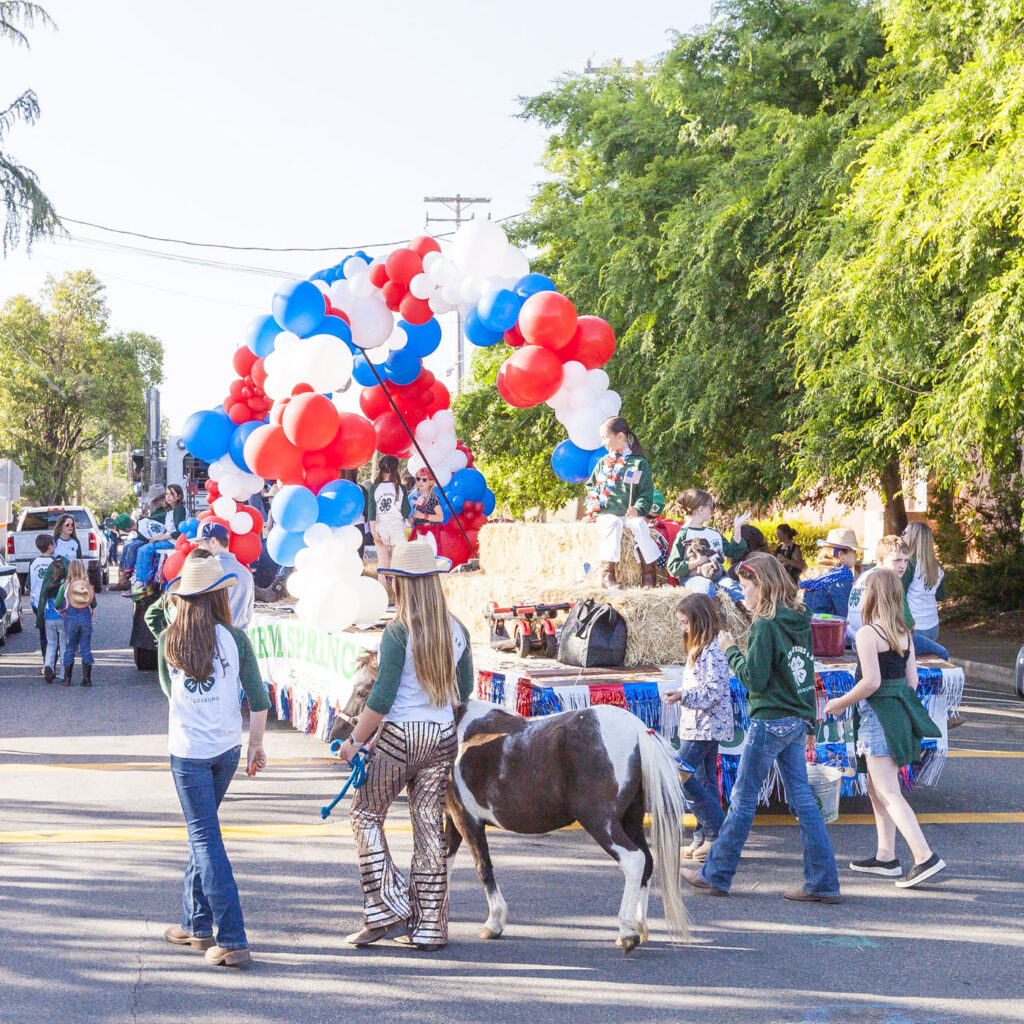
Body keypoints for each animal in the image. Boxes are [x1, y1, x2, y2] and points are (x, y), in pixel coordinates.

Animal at [328, 656, 690, 954]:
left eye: (363, 690)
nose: (338, 735)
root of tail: (639, 729)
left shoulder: (467, 821)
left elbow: (483, 867)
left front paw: (493, 924)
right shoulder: (452, 820)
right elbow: (444, 864)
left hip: (601, 822)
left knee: (633, 861)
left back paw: (627, 932)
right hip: (629, 819)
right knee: (647, 862)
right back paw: (640, 928)